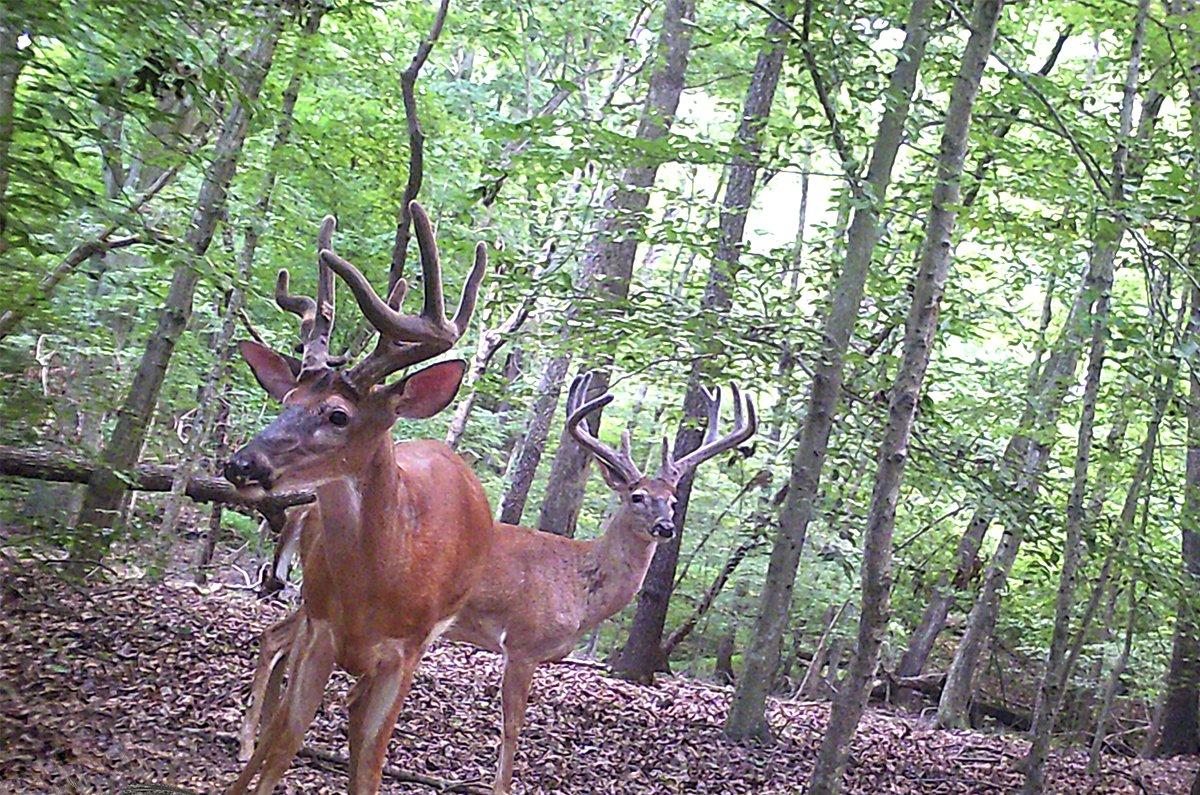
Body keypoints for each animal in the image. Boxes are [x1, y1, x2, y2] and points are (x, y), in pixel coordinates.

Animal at [223, 200, 489, 795]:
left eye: (338, 415)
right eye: (287, 401)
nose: (240, 463)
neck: (384, 577)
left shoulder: (406, 652)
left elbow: (369, 760)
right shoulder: (322, 628)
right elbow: (287, 738)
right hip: (306, 603)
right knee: (280, 674)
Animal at [237, 369, 753, 792]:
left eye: (674, 501)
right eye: (638, 497)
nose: (665, 527)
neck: (578, 583)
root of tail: (304, 511)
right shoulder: (523, 643)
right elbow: (512, 728)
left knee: (277, 638)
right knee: (274, 637)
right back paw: (247, 742)